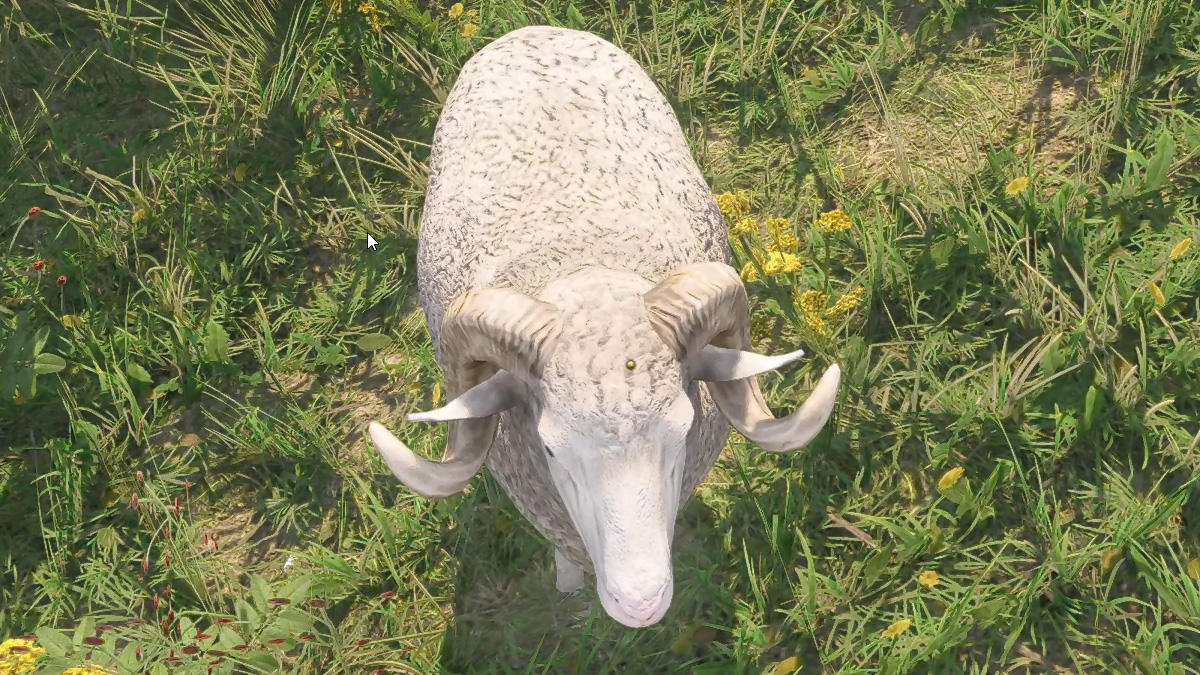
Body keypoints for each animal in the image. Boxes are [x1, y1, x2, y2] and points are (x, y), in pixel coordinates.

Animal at [367, 25, 841, 629]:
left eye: (684, 431)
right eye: (548, 450)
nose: (640, 604)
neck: (585, 263)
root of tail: (530, 31)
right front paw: (569, 579)